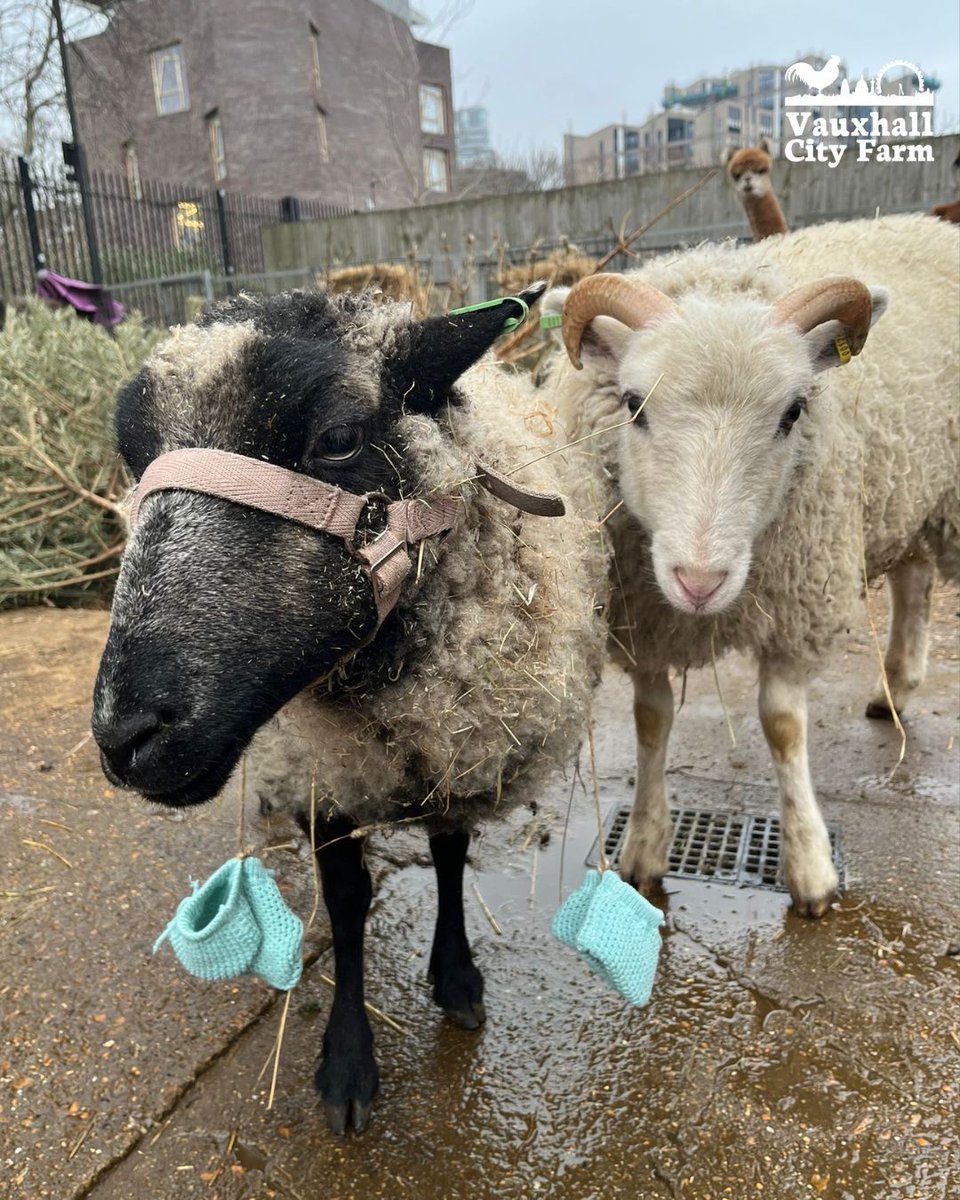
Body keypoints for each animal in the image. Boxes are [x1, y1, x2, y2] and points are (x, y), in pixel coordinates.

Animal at [91, 284, 611, 1133]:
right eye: (135, 461)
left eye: (337, 438)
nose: (124, 736)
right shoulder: (321, 774)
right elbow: (346, 901)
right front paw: (347, 1062)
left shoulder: (458, 746)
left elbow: (449, 858)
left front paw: (457, 978)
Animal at [540, 213, 959, 919]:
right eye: (632, 404)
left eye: (794, 411)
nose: (699, 582)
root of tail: (929, 223)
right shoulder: (645, 619)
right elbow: (651, 721)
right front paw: (643, 850)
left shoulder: (798, 607)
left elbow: (783, 727)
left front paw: (811, 869)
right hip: (905, 489)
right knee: (914, 577)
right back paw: (895, 688)